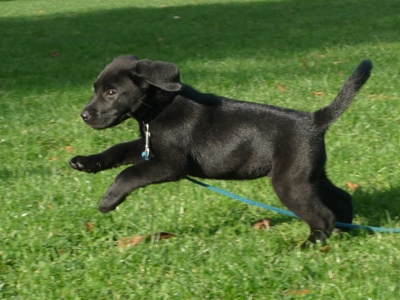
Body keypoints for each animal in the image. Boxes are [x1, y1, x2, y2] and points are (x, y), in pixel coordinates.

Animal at [69, 55, 372, 244]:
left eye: (111, 92)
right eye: (96, 90)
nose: (84, 115)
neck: (160, 109)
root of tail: (314, 120)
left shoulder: (169, 165)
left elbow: (128, 174)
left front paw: (109, 199)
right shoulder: (148, 149)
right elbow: (117, 150)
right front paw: (86, 162)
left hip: (291, 182)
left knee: (323, 216)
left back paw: (310, 244)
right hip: (311, 174)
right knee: (342, 197)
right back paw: (346, 230)